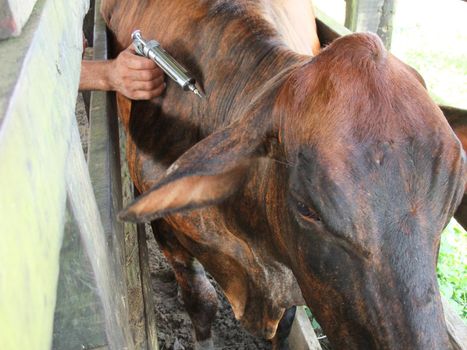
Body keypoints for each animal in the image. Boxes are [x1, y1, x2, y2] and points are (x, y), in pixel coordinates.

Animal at [100, 0, 466, 350]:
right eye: (306, 209)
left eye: (452, 204)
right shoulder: (166, 231)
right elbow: (201, 301)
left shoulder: (295, 269)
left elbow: (286, 322)